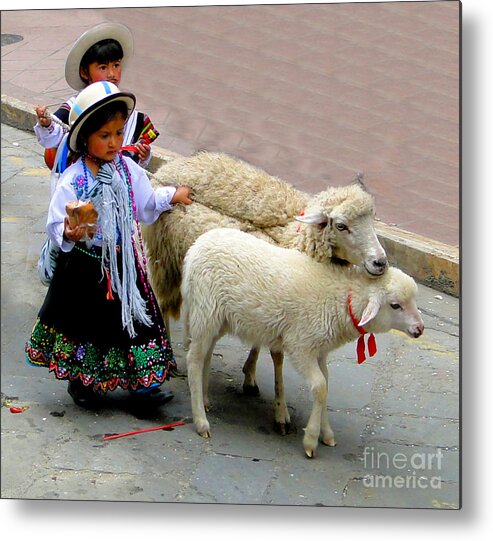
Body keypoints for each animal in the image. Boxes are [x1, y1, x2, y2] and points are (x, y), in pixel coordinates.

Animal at [181, 226, 422, 458]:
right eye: (395, 305)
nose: (420, 329)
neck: (344, 299)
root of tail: (196, 247)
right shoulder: (301, 347)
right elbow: (320, 387)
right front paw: (311, 440)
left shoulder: (321, 351)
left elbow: (326, 386)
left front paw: (327, 433)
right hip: (206, 310)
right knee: (193, 359)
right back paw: (201, 421)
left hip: (217, 318)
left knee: (205, 355)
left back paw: (204, 399)